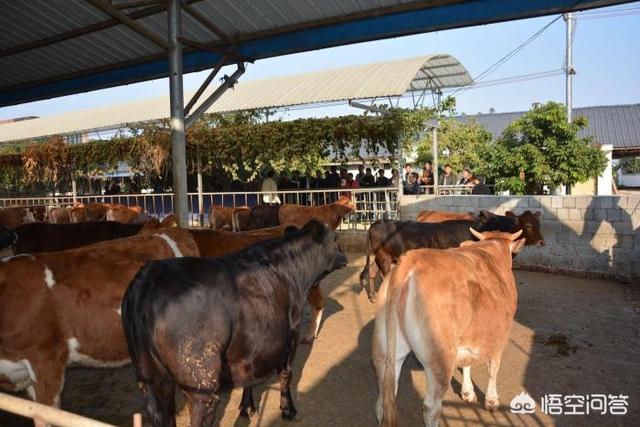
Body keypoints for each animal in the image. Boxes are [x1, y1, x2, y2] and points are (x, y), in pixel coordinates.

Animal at [122, 221, 348, 427]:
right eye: (334, 238)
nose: (345, 258)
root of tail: (150, 277)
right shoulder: (291, 333)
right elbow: (286, 373)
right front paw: (288, 409)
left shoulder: (252, 343)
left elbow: (249, 374)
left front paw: (247, 407)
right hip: (201, 381)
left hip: (150, 379)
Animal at [360, 211, 528, 300]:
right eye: (496, 219)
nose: (514, 219)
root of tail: (377, 222)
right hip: (384, 257)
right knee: (383, 275)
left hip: (380, 256)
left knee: (373, 270)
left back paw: (373, 296)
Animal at [370, 231, 524, 427]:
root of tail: (409, 260)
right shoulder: (500, 336)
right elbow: (493, 368)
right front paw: (491, 400)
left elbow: (467, 364)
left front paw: (468, 393)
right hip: (440, 358)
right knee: (431, 407)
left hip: (385, 351)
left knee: (382, 400)